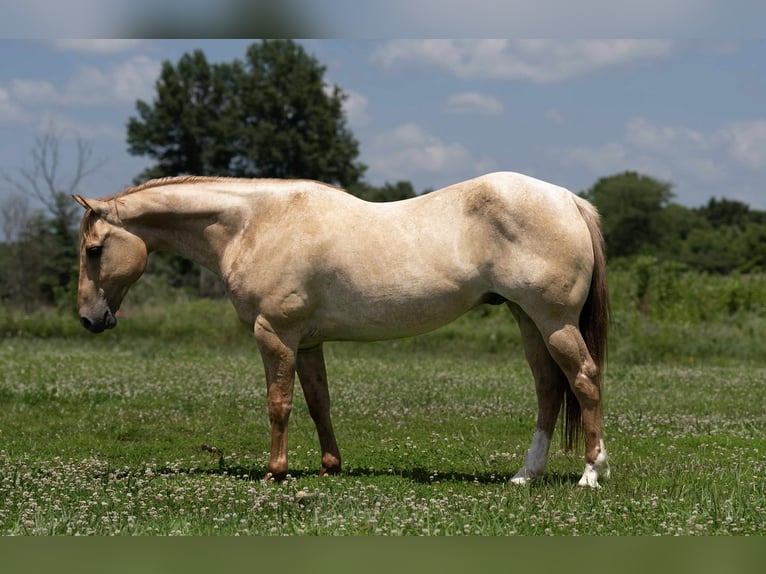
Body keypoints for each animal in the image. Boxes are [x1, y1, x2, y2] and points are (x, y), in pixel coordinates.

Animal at [73, 171, 610, 487]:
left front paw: (275, 473)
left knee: (584, 381)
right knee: (548, 390)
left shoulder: (276, 334)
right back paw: (526, 475)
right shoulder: (308, 341)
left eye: (94, 250)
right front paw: (330, 467)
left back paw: (591, 472)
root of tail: (568, 198)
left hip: (553, 321)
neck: (254, 224)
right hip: (528, 321)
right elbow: (318, 403)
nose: (89, 318)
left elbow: (279, 404)